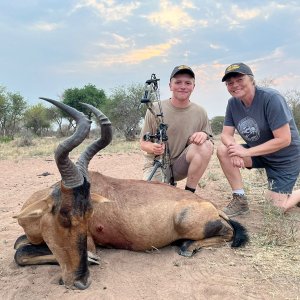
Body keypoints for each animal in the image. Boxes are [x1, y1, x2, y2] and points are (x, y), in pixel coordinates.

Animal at [13, 98, 248, 290]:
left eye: (87, 216)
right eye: (64, 215)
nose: (81, 282)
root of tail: (213, 207)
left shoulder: (90, 243)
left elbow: (19, 253)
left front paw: (91, 260)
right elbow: (19, 246)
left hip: (187, 221)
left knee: (228, 232)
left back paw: (188, 247)